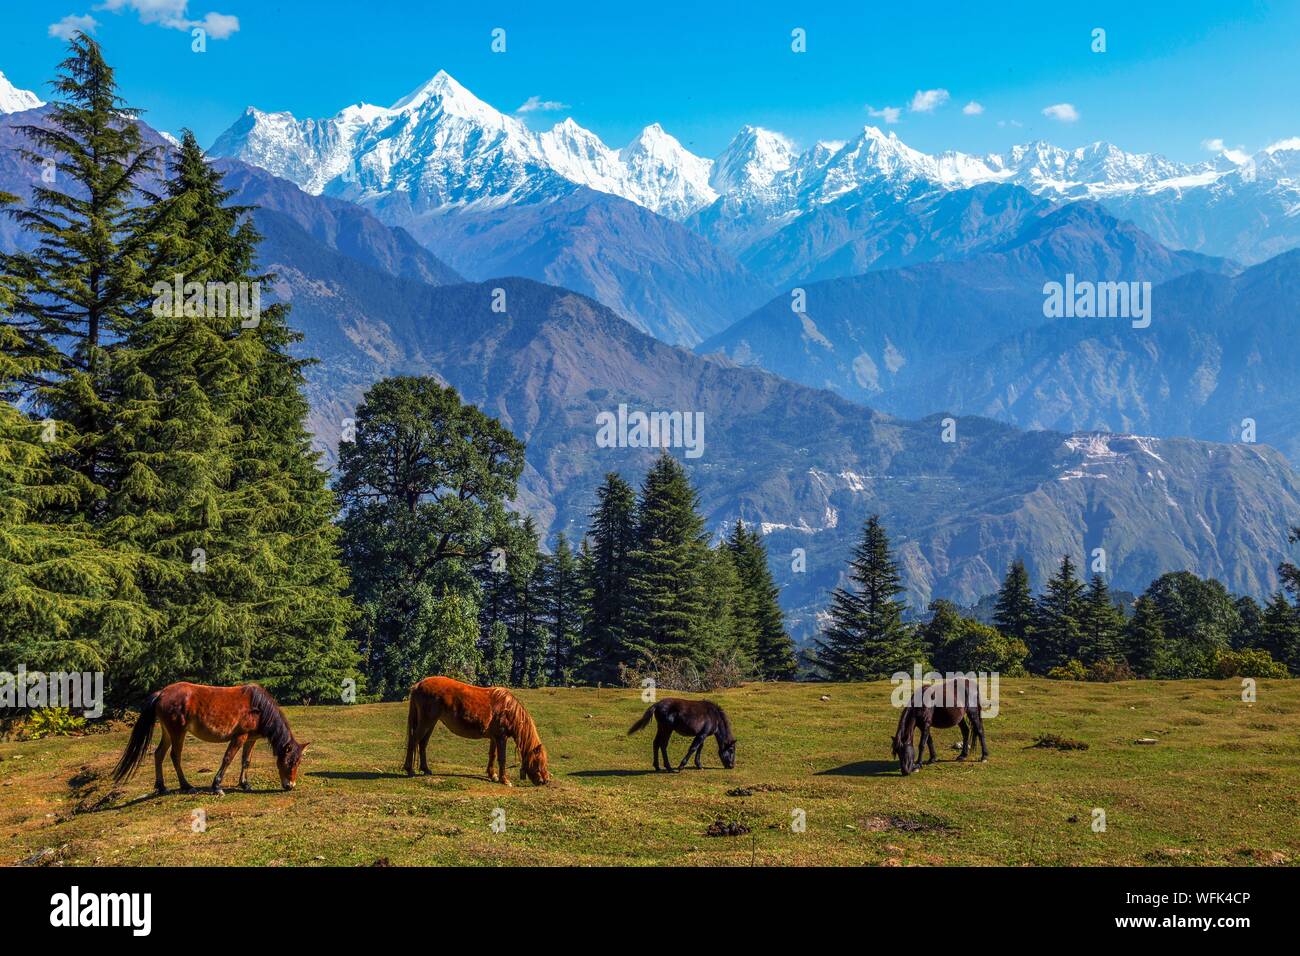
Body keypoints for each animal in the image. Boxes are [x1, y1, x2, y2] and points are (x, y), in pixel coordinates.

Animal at [111, 686, 309, 796]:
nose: (290, 785)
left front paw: (244, 784)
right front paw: (217, 786)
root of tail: (162, 693)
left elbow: (246, 761)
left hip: (167, 732)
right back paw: (186, 786)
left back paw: (162, 787)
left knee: (159, 754)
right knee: (175, 755)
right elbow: (228, 759)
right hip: (177, 732)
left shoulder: (250, 738)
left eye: (298, 762)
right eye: (288, 762)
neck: (259, 708)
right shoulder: (239, 737)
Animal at [403, 671, 551, 785]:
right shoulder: (501, 737)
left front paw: (492, 775)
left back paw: (426, 769)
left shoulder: (494, 737)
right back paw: (410, 770)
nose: (545, 781)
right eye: (539, 762)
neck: (508, 710)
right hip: (426, 722)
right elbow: (502, 758)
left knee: (422, 743)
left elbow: (492, 755)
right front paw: (504, 780)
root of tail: (418, 685)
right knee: (414, 740)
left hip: (431, 723)